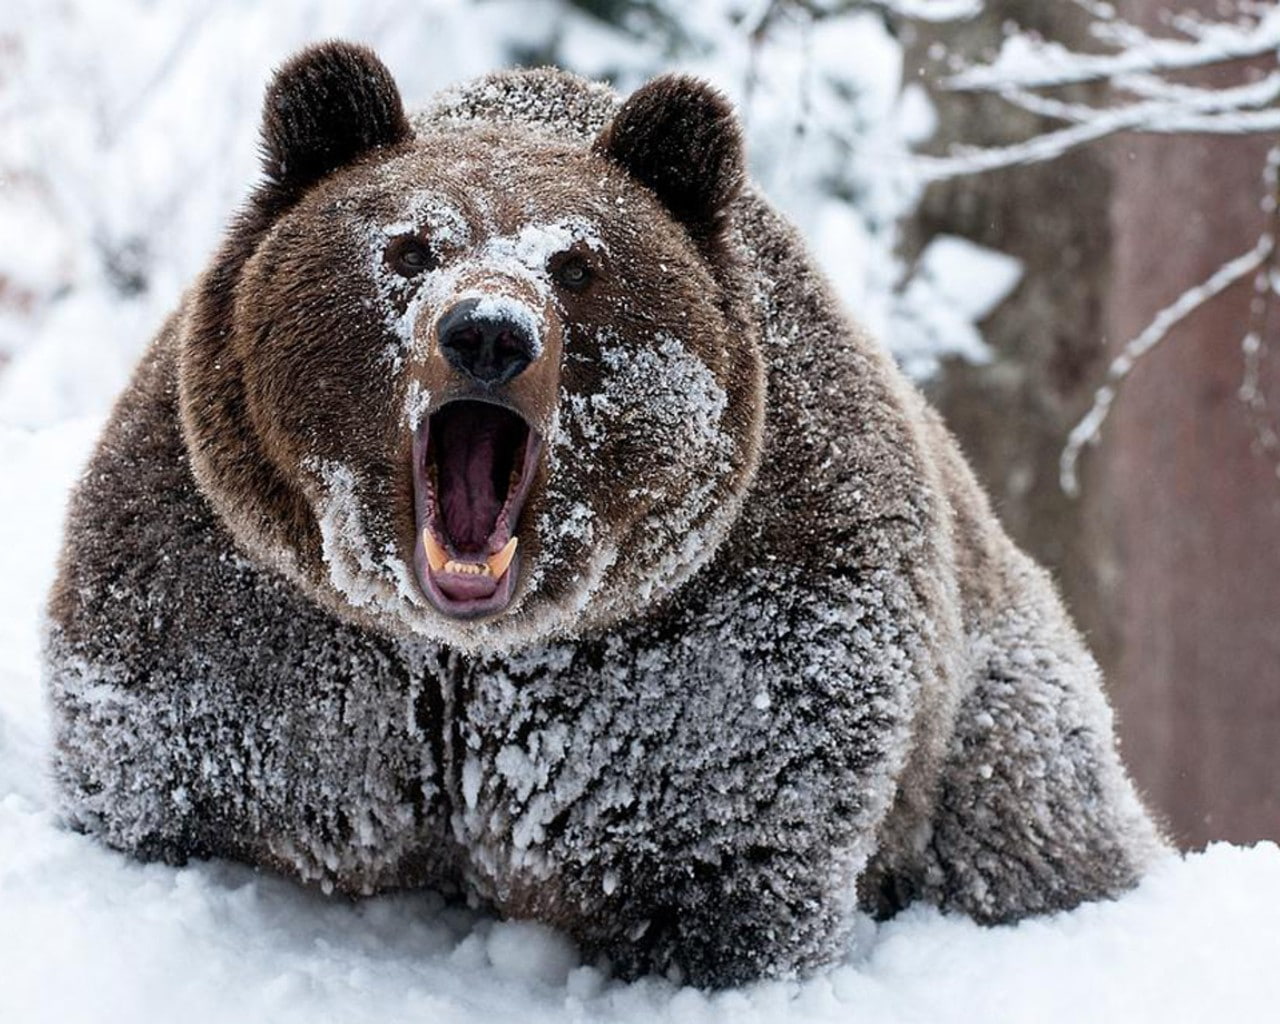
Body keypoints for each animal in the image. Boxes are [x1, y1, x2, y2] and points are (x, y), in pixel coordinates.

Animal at [44, 41, 1165, 988]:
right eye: (409, 246)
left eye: (577, 264)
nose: (487, 332)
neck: (465, 654)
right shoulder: (248, 612)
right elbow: (168, 771)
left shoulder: (718, 646)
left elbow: (726, 853)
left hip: (996, 714)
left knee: (1026, 824)